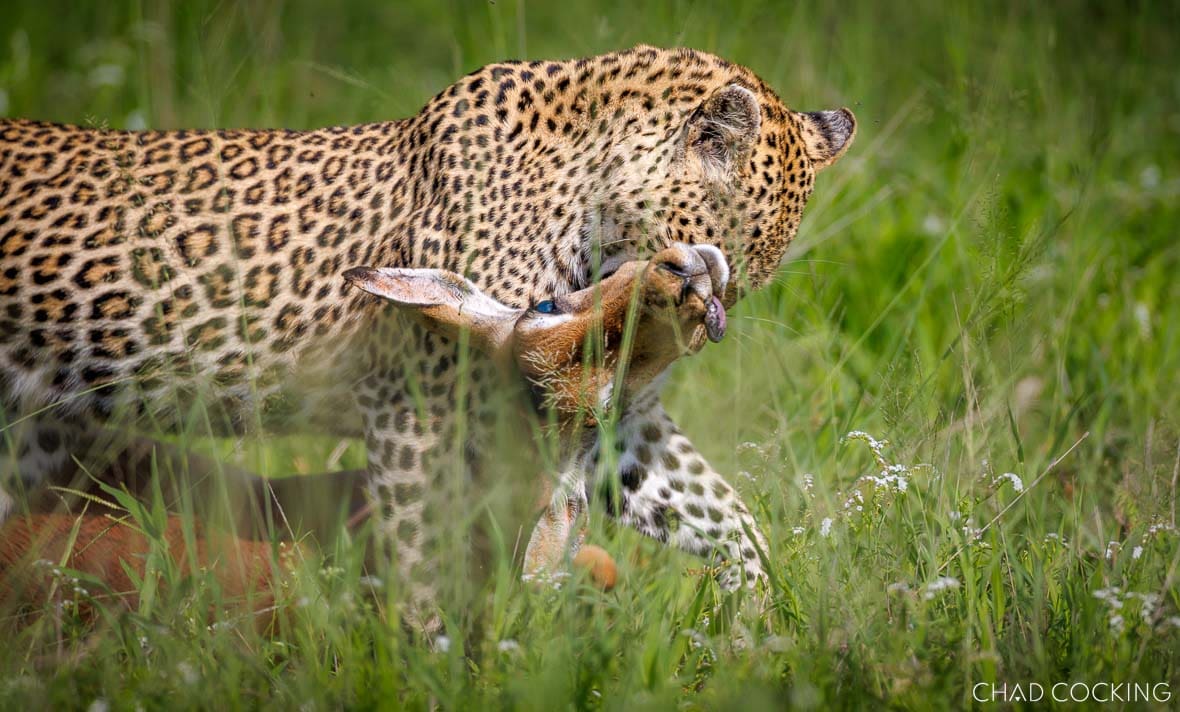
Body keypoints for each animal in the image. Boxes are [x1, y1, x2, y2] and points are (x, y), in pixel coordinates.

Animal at [0, 45, 855, 611]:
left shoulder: (614, 410)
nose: (712, 304)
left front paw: (757, 632)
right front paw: (430, 661)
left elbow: (727, 518)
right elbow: (424, 548)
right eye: (723, 241)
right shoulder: (419, 408)